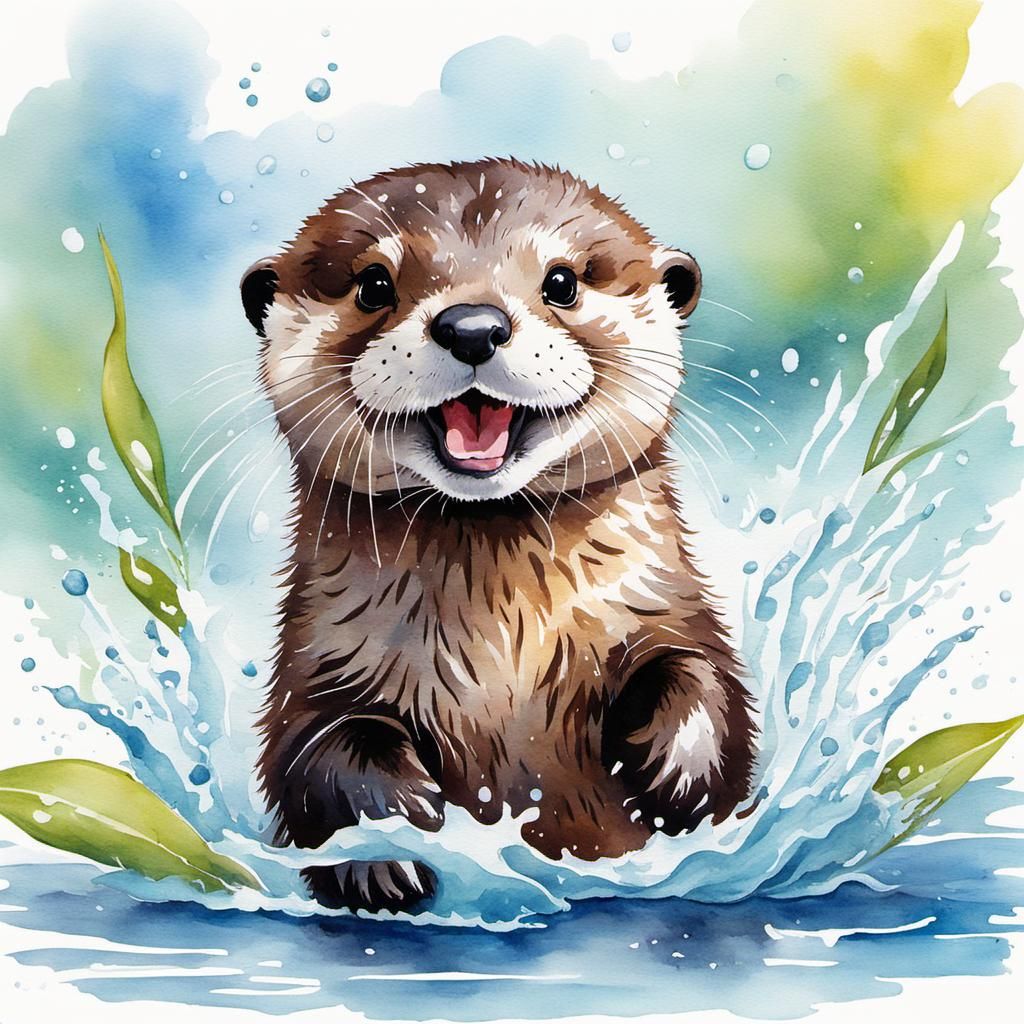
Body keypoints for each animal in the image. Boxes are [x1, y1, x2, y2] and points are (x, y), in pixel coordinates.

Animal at [240, 158, 756, 913]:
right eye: (373, 284)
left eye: (562, 282)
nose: (473, 326)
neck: (505, 657)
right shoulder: (317, 664)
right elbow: (317, 750)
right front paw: (385, 850)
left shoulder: (669, 607)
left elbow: (700, 675)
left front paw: (677, 768)